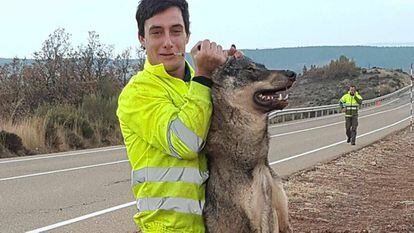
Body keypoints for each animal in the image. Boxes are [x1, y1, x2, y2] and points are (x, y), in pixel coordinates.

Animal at [203, 57, 294, 233]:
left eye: (263, 66)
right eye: (250, 69)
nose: (292, 73)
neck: (257, 161)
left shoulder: (280, 217)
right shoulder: (249, 222)